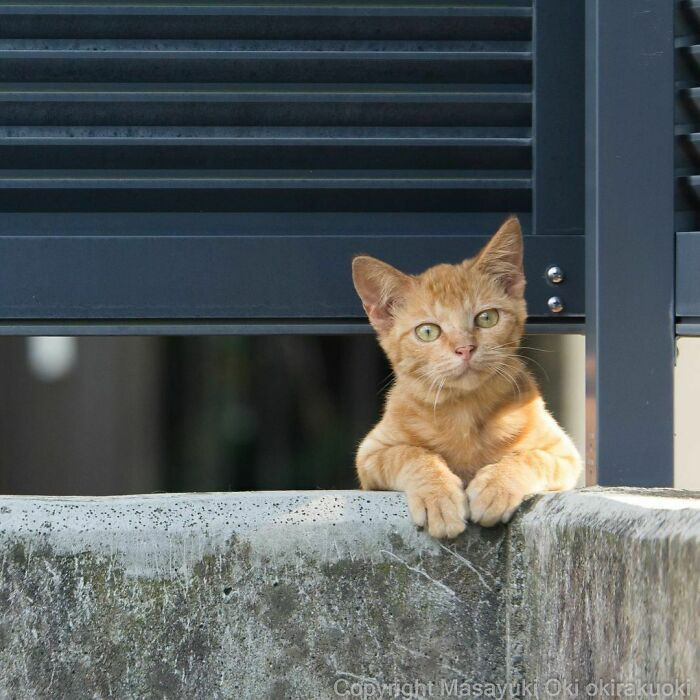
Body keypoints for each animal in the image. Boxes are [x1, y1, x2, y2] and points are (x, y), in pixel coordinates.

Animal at [352, 217, 584, 536]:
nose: (465, 348)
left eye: (487, 318)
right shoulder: (370, 455)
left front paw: (497, 486)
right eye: (428, 331)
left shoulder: (564, 455)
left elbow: (529, 456)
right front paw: (437, 495)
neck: (464, 411)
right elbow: (411, 454)